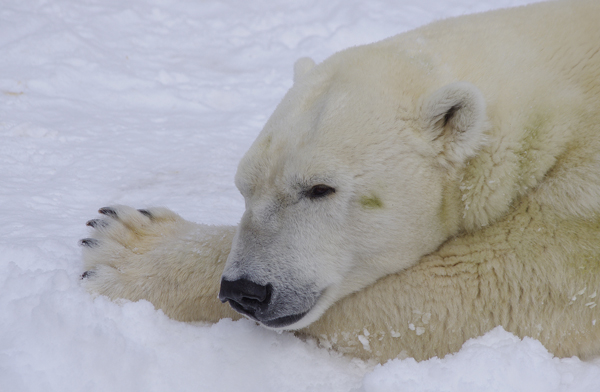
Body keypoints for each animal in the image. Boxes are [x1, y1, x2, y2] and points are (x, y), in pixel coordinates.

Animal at [81, 0, 600, 362]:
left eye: (319, 188)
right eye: (244, 187)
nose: (246, 290)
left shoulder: (579, 223)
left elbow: (468, 294)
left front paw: (120, 246)